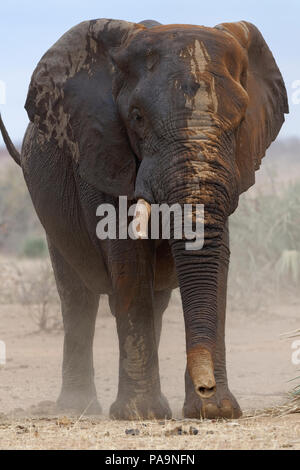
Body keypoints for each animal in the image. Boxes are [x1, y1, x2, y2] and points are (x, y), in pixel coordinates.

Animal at [0, 17, 288, 418]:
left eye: (241, 120)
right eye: (137, 118)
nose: (206, 387)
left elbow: (216, 259)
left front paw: (215, 411)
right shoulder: (102, 152)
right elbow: (127, 257)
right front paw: (140, 414)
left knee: (155, 300)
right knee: (76, 295)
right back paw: (78, 407)